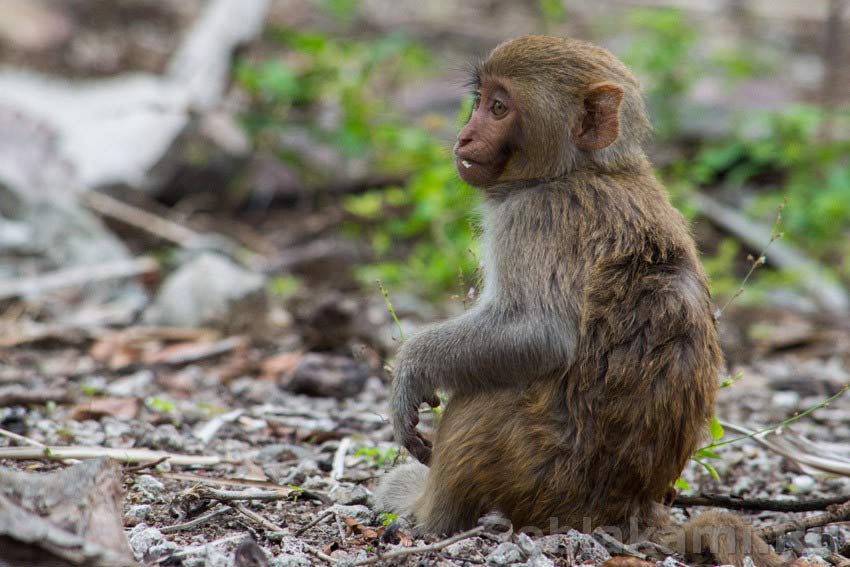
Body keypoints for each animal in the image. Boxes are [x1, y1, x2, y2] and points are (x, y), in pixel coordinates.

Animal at [374, 36, 784, 567]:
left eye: (499, 107)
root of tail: (628, 512)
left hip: (534, 476)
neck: (581, 169)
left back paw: (428, 510)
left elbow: (540, 334)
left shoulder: (537, 215)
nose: (463, 138)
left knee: (484, 393)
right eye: (479, 100)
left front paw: (412, 369)